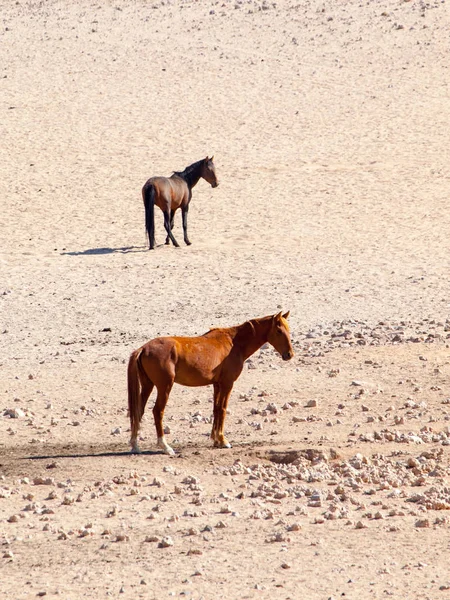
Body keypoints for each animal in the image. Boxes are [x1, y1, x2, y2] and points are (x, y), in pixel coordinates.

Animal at [128, 310, 294, 454]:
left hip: (148, 386)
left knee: (138, 410)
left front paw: (215, 440)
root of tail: (143, 348)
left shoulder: (217, 384)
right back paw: (165, 446)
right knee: (158, 411)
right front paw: (223, 440)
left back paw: (135, 445)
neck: (234, 343)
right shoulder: (227, 384)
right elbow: (223, 409)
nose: (289, 354)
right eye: (279, 331)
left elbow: (216, 409)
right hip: (164, 387)